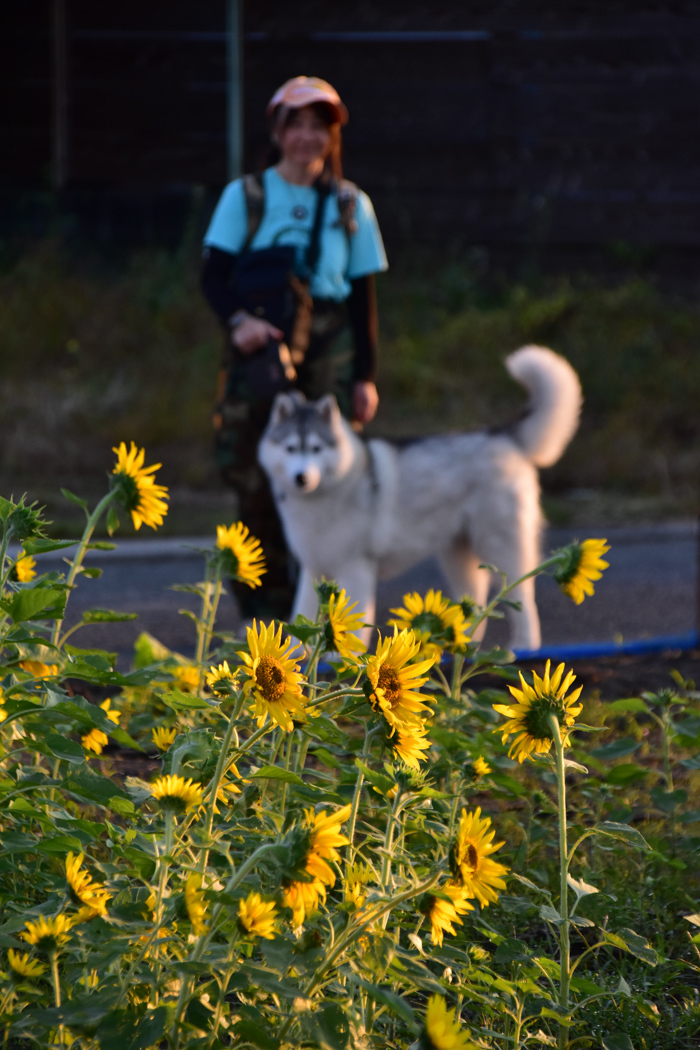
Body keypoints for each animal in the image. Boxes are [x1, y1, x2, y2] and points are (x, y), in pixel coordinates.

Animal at [260, 346, 583, 646]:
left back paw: (524, 646)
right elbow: (299, 619)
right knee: (476, 604)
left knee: (522, 597)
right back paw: (461, 648)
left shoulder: (356, 569)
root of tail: (502, 436)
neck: (322, 499)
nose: (301, 478)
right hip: (458, 555)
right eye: (290, 448)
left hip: (501, 548)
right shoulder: (314, 570)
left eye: (316, 449)